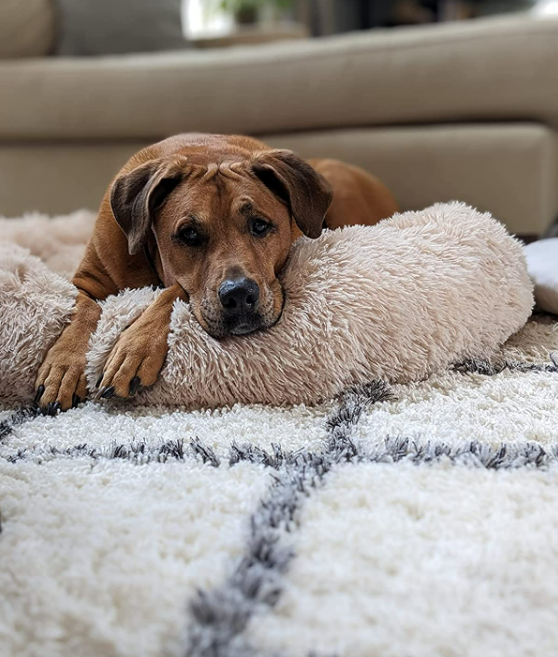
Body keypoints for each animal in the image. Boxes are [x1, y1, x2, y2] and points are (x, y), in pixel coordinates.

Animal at [34, 133, 398, 410]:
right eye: (189, 234)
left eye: (260, 225)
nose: (239, 295)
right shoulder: (87, 280)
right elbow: (82, 308)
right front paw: (63, 367)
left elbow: (174, 290)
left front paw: (136, 347)